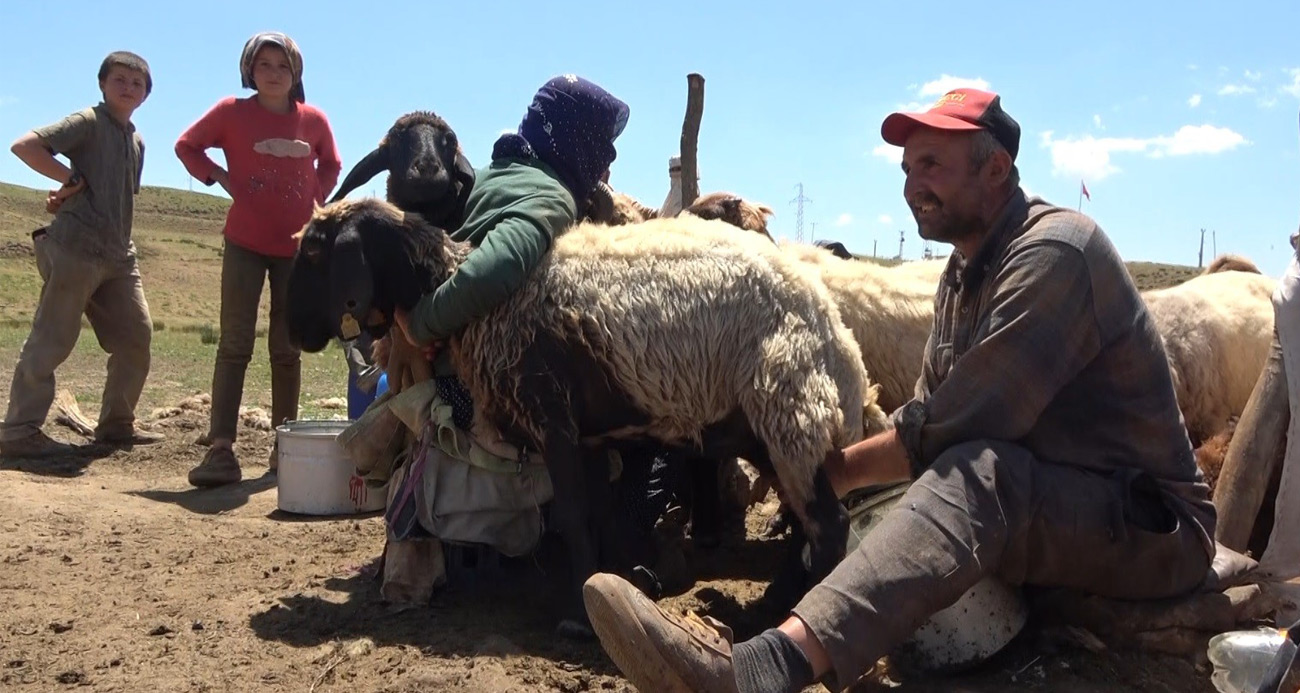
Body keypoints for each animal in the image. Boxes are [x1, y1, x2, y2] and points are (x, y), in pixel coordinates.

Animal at [284, 197, 873, 634]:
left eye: (313, 250)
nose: (293, 331)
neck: (476, 297)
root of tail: (843, 347)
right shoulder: (588, 435)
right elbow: (600, 513)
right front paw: (613, 582)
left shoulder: (552, 417)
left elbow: (572, 514)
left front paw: (581, 616)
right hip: (766, 426)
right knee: (806, 521)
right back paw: (773, 602)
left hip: (789, 409)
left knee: (828, 523)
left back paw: (792, 610)